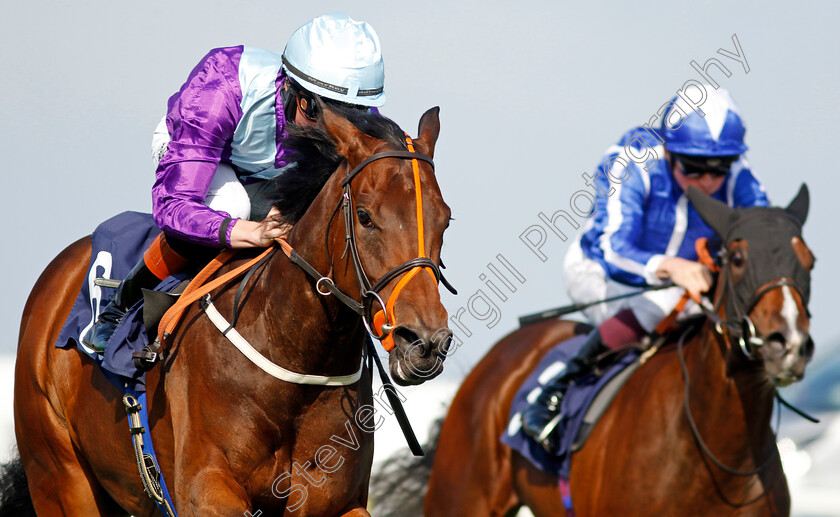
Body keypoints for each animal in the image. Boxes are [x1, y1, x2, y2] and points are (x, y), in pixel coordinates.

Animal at [8, 107, 452, 512]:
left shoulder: (337, 500)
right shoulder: (204, 490)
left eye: (445, 220)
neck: (290, 349)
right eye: (364, 217)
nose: (424, 341)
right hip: (60, 476)